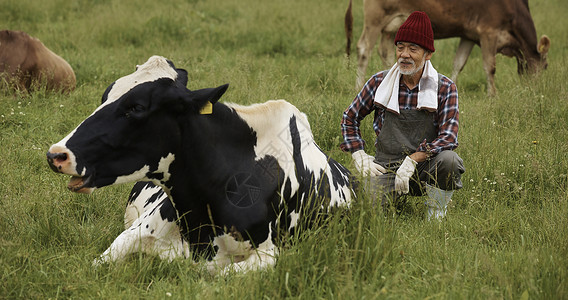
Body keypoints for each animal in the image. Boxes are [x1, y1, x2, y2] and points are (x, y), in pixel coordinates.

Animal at [46, 55, 356, 274]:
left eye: (136, 108)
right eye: (105, 96)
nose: (56, 154)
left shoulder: (269, 254)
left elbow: (221, 274)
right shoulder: (133, 233)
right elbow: (98, 263)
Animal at [344, 0, 552, 95]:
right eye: (545, 66)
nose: (537, 90)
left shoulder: (468, 35)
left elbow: (459, 63)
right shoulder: (488, 31)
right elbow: (490, 67)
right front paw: (492, 94)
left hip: (392, 26)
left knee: (386, 53)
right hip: (375, 17)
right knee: (364, 48)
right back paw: (357, 85)